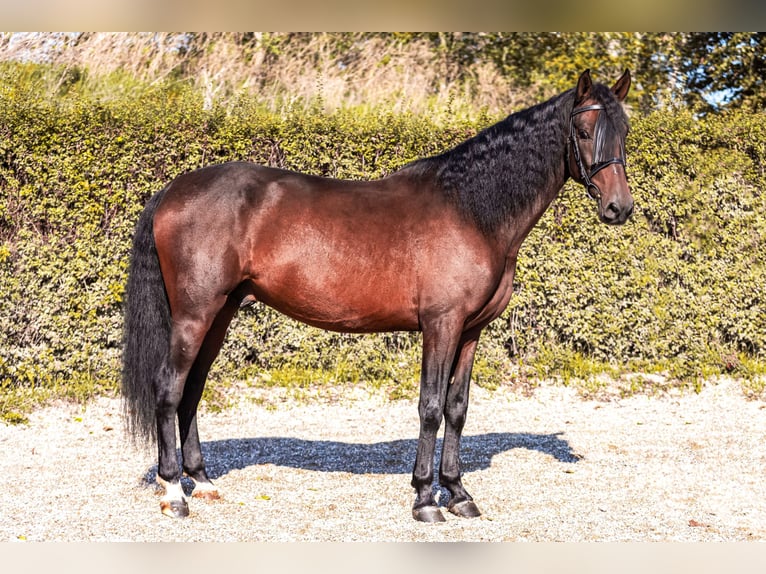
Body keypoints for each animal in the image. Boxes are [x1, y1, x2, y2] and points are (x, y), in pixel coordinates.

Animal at [121, 70, 636, 524]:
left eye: (625, 131)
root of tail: (174, 190)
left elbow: (457, 408)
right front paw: (425, 500)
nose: (619, 208)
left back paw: (203, 482)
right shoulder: (441, 324)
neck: (471, 210)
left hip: (221, 313)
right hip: (194, 313)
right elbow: (430, 408)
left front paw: (459, 493)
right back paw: (174, 493)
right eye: (584, 130)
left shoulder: (471, 331)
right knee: (169, 387)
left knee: (192, 390)